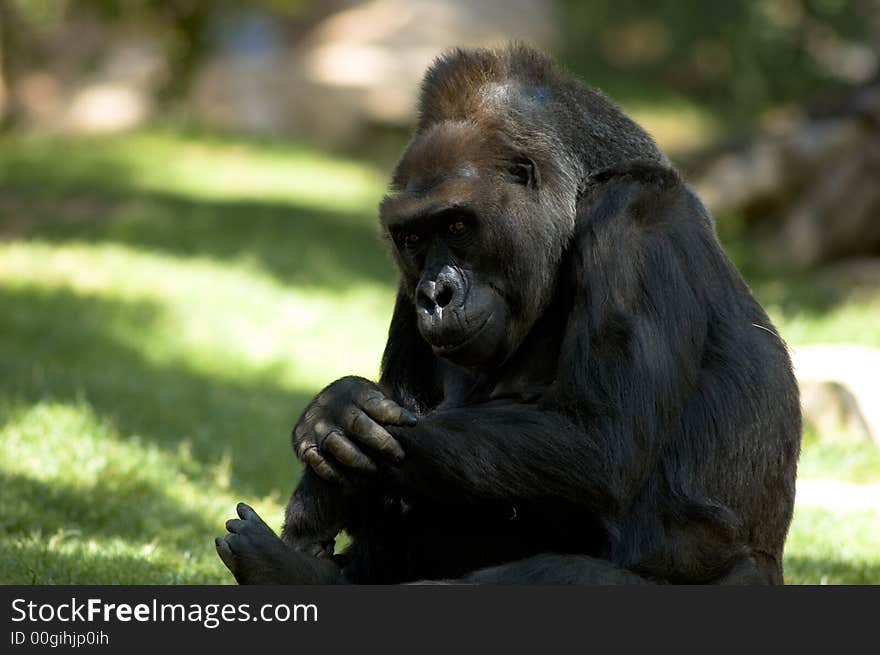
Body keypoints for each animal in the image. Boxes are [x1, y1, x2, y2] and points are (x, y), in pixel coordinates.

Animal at [217, 47, 800, 588]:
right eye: (412, 238)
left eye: (457, 226)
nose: (435, 294)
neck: (577, 199)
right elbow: (401, 416)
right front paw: (334, 443)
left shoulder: (635, 227)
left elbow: (599, 439)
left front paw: (332, 425)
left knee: (561, 574)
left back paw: (292, 575)